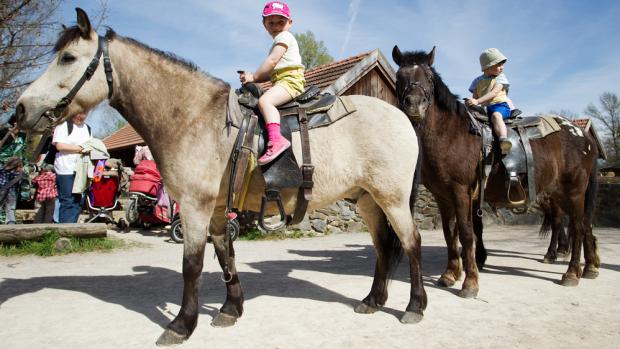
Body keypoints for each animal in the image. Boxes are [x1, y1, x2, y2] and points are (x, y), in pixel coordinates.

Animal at [392, 45, 600, 296]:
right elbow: (450, 233)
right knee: (583, 225)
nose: (414, 104)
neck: (451, 133)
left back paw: (571, 273)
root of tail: (584, 137)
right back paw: (589, 267)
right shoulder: (443, 195)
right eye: (399, 76)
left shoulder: (461, 192)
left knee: (578, 227)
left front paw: (470, 282)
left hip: (574, 192)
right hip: (560, 193)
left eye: (430, 77)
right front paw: (450, 274)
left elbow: (466, 233)